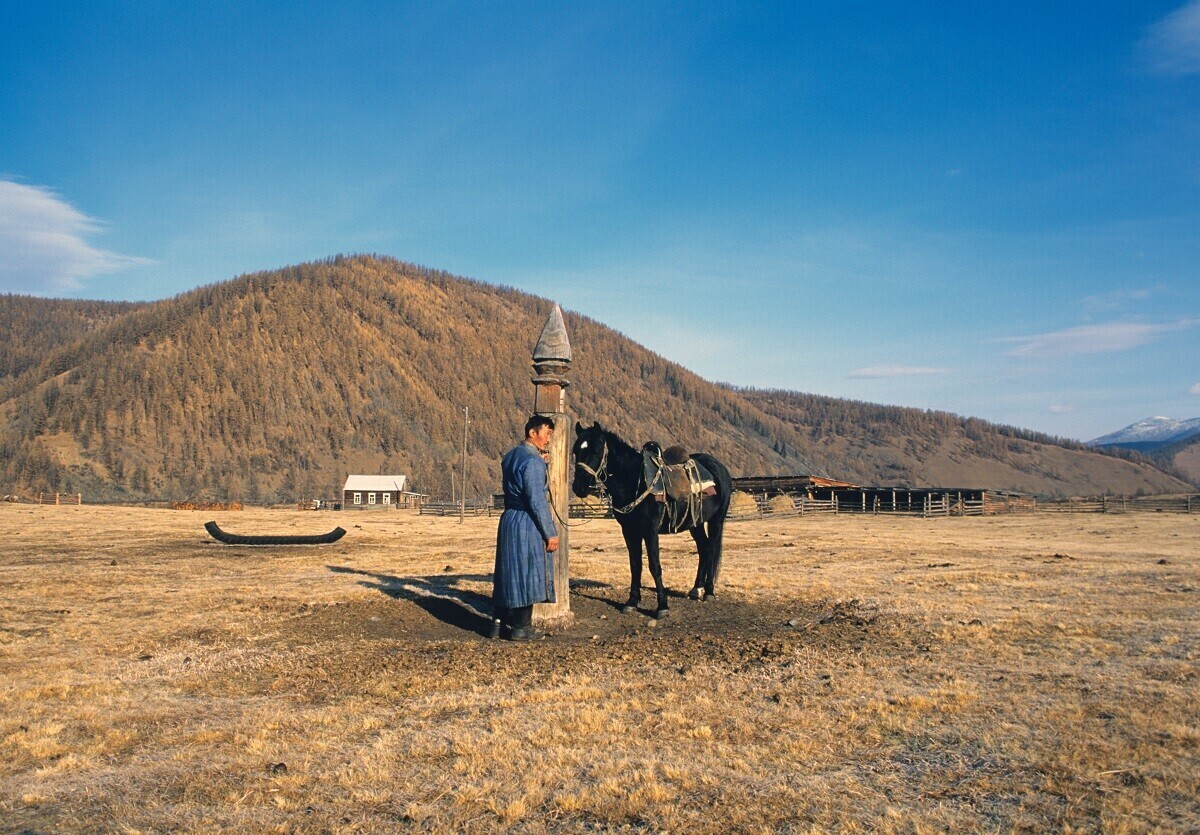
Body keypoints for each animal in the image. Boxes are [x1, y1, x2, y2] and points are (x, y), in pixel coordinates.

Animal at [568, 419, 729, 614]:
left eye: (596, 450)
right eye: (576, 450)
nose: (579, 487)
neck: (635, 482)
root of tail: (720, 468)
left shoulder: (650, 530)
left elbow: (654, 565)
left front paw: (662, 606)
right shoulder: (629, 531)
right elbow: (635, 565)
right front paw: (631, 602)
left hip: (716, 521)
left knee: (711, 549)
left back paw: (709, 592)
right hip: (695, 523)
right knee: (703, 549)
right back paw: (696, 589)